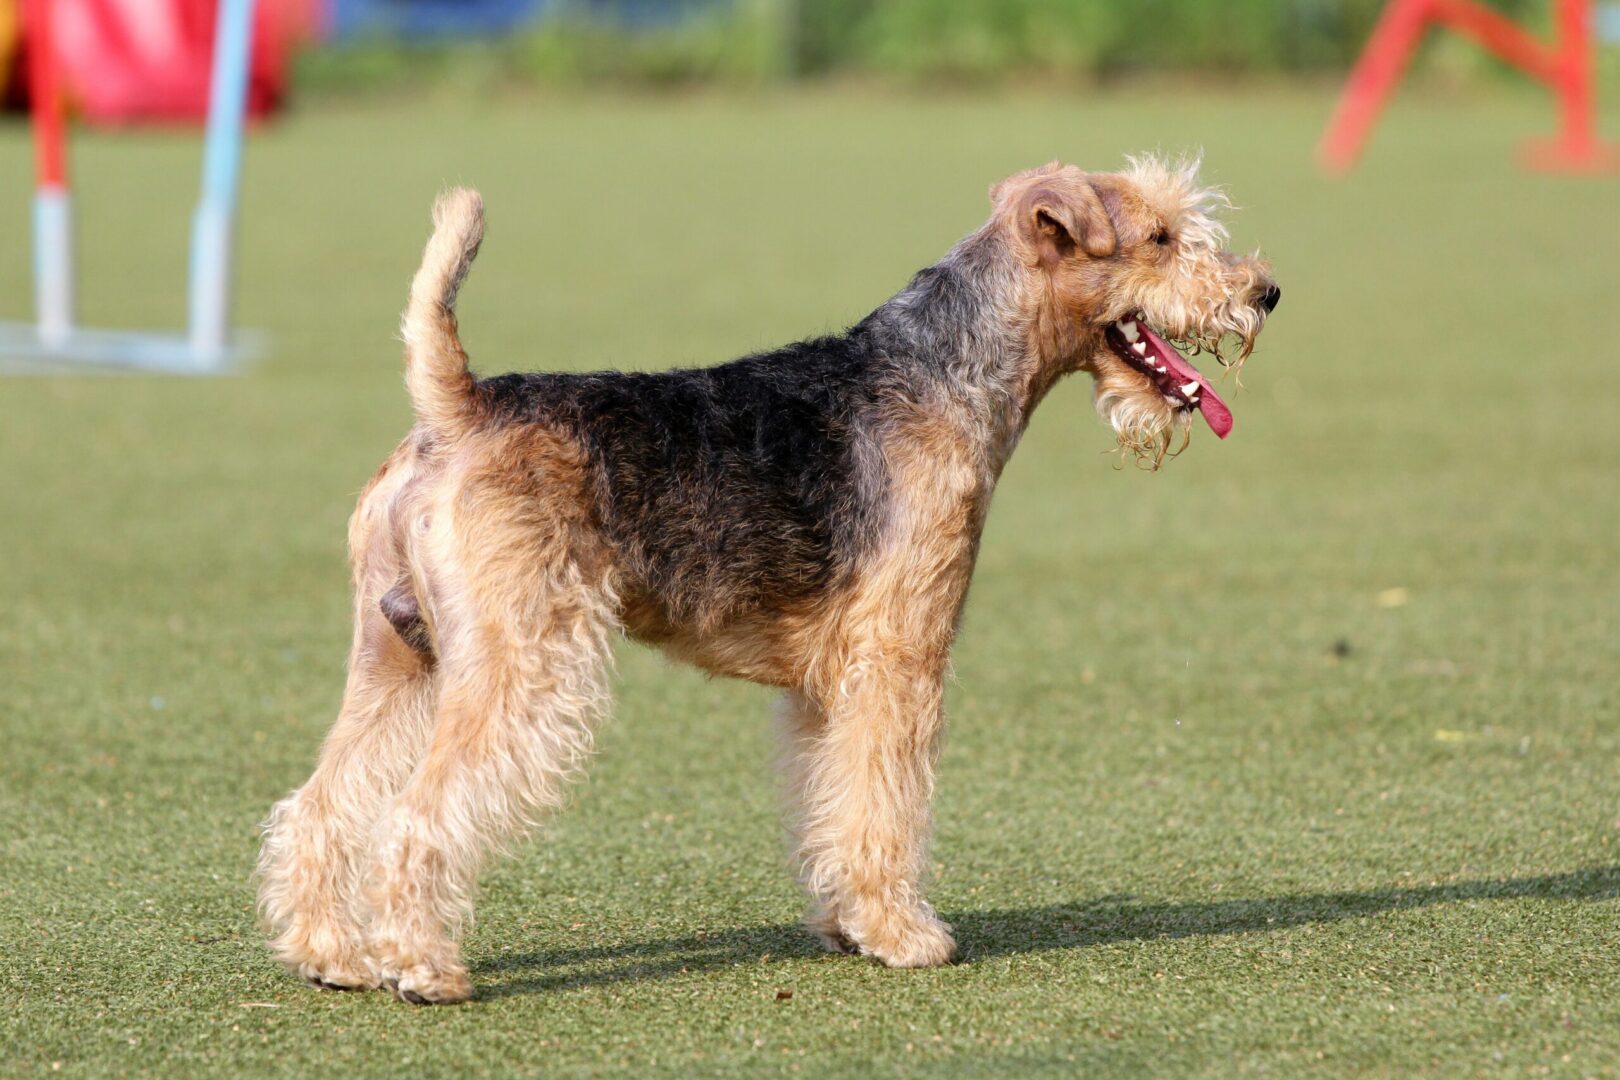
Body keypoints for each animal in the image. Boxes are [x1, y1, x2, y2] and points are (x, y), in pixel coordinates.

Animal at [259, 153, 1283, 1003]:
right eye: (1161, 237)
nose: (1266, 291)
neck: (948, 372)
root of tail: (456, 411)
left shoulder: (830, 681)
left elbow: (835, 800)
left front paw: (847, 923)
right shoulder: (902, 652)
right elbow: (887, 801)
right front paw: (905, 934)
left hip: (398, 656)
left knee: (321, 805)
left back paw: (331, 955)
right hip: (519, 662)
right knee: (416, 814)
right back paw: (423, 968)